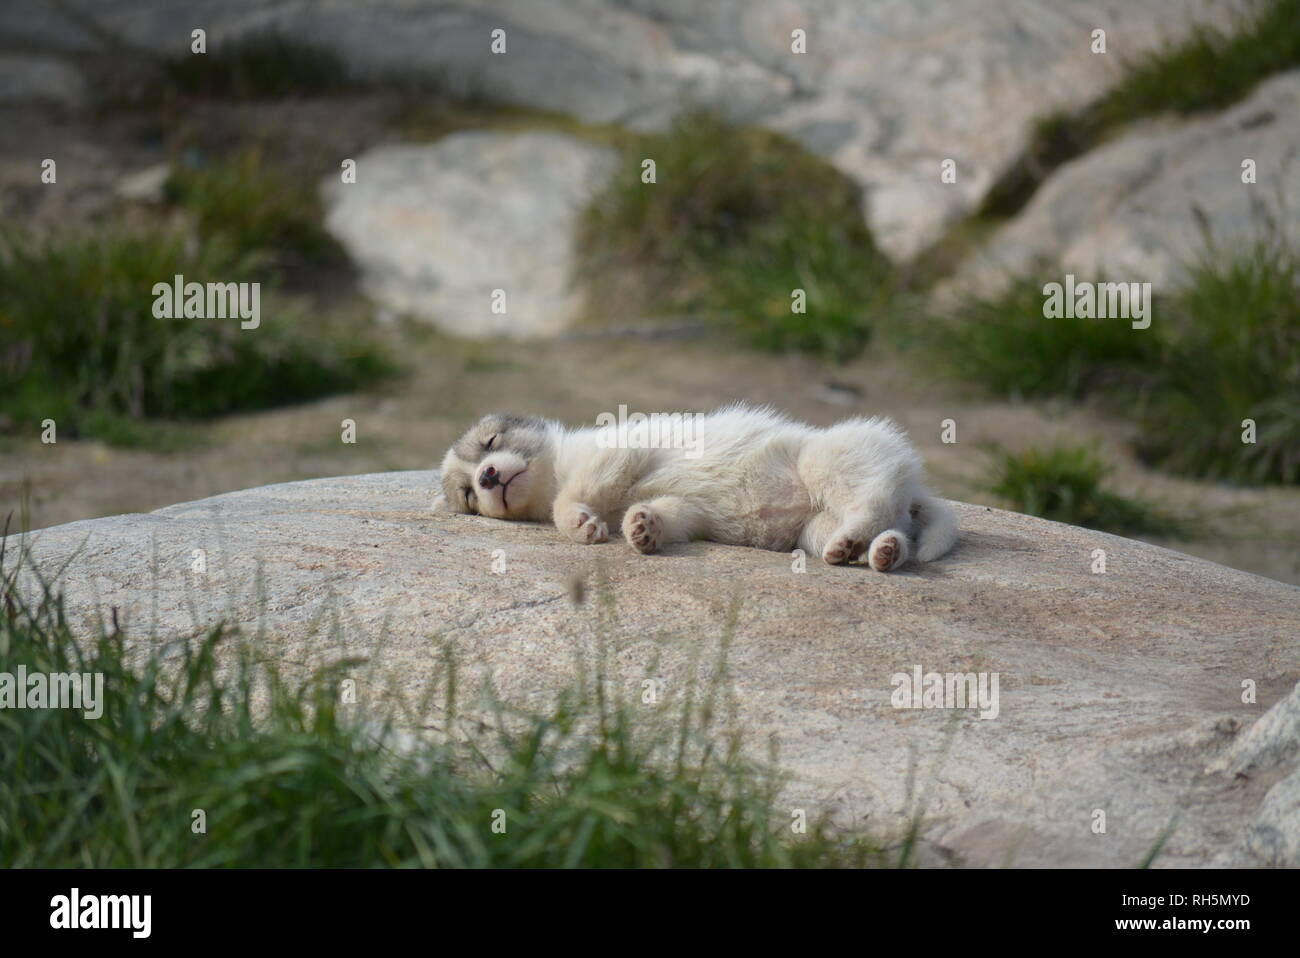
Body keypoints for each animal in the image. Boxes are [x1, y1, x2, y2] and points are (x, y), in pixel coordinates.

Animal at [434, 402, 956, 566]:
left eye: (491, 441)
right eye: (468, 495)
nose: (486, 476)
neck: (559, 465)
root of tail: (915, 483)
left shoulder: (618, 449)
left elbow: (578, 494)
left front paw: (580, 521)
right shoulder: (684, 508)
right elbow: (671, 513)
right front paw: (642, 528)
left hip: (831, 462)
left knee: (869, 504)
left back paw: (859, 541)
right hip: (815, 528)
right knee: (891, 529)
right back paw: (879, 553)